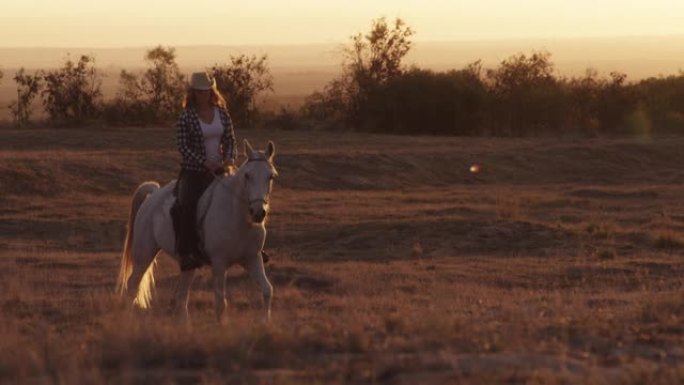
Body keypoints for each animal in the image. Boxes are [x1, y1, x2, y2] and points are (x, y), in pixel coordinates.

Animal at [117, 139, 278, 320]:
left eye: (270, 176)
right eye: (247, 175)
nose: (258, 212)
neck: (238, 218)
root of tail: (153, 195)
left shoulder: (253, 259)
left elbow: (267, 290)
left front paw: (265, 322)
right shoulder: (219, 263)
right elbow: (221, 303)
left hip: (188, 264)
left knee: (181, 298)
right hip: (144, 254)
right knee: (132, 286)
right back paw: (129, 319)